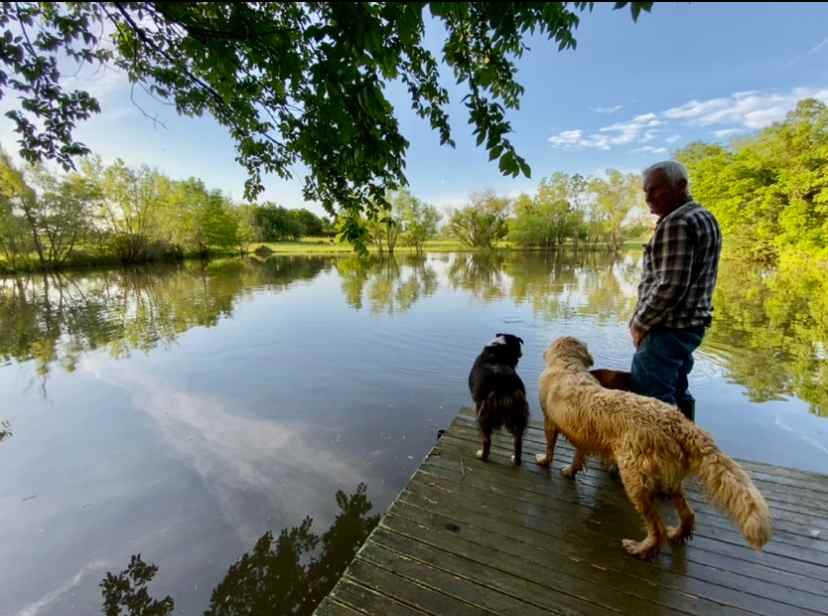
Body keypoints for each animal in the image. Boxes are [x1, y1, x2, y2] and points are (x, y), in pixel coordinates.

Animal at [466, 334, 532, 464]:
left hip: (484, 412)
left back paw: (482, 456)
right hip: (518, 412)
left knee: (487, 440)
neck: (500, 347)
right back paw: (516, 460)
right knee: (518, 441)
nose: (521, 354)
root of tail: (504, 381)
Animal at [536, 336, 768, 560]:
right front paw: (570, 470)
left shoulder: (550, 422)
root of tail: (680, 424)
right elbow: (578, 455)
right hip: (670, 479)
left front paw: (544, 461)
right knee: (687, 514)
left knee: (657, 528)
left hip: (636, 481)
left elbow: (550, 445)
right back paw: (678, 533)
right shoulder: (583, 435)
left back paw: (642, 548)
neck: (567, 365)